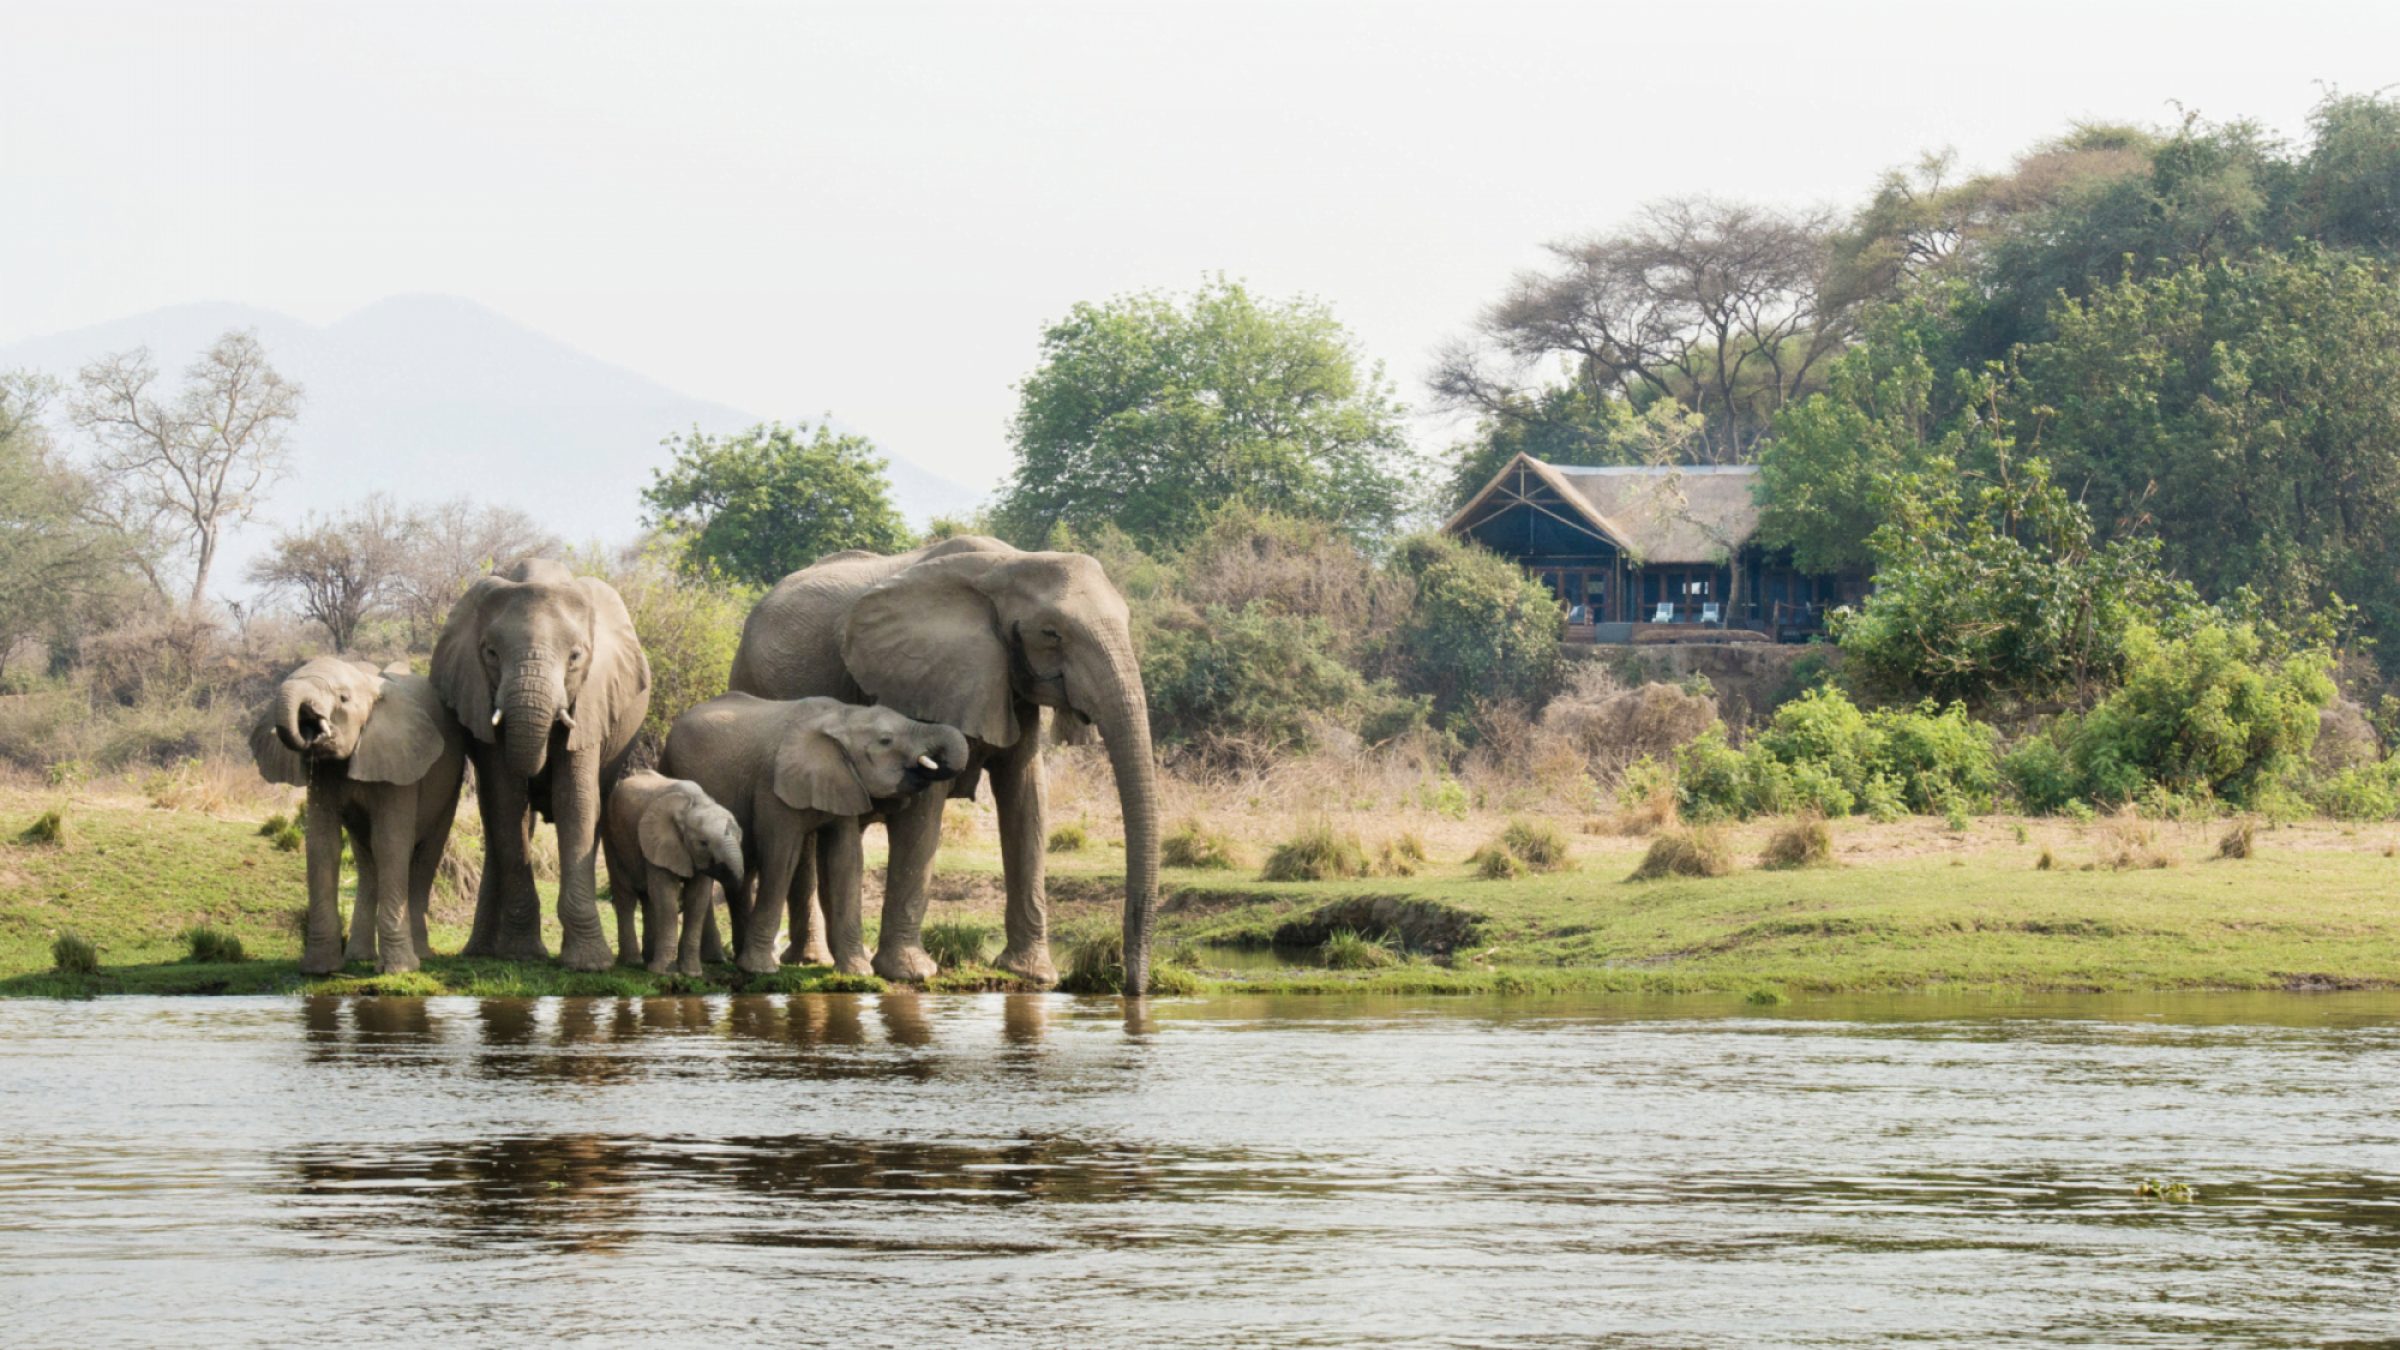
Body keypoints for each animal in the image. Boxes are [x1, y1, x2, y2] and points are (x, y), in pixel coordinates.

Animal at [250, 653, 465, 965]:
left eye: (343, 698)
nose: (310, 728)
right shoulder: (324, 775)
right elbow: (322, 845)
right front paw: (319, 968)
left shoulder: (399, 762)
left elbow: (390, 844)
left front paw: (400, 969)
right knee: (366, 858)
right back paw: (359, 957)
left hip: (451, 787)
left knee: (425, 857)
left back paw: (421, 956)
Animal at [432, 557, 652, 965]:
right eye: (490, 654)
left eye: (576, 657)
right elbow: (506, 804)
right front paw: (521, 955)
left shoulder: (592, 699)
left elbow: (574, 801)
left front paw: (588, 964)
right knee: (498, 823)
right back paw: (481, 952)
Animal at [600, 773, 739, 970]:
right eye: (703, 843)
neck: (696, 802)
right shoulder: (658, 842)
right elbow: (666, 896)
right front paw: (665, 972)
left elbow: (697, 899)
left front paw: (691, 972)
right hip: (612, 837)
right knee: (626, 896)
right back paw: (633, 962)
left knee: (648, 898)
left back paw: (649, 958)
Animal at [657, 691, 964, 965]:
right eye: (886, 741)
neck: (842, 717)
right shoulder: (773, 787)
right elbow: (781, 857)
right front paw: (759, 968)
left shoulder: (844, 781)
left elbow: (846, 859)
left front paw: (857, 970)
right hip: (675, 771)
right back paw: (715, 960)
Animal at [724, 535, 1156, 989]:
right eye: (1051, 633)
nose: (1129, 986)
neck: (1009, 564)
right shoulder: (923, 676)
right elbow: (924, 812)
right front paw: (911, 973)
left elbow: (1026, 799)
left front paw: (1032, 974)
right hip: (754, 684)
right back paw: (809, 961)